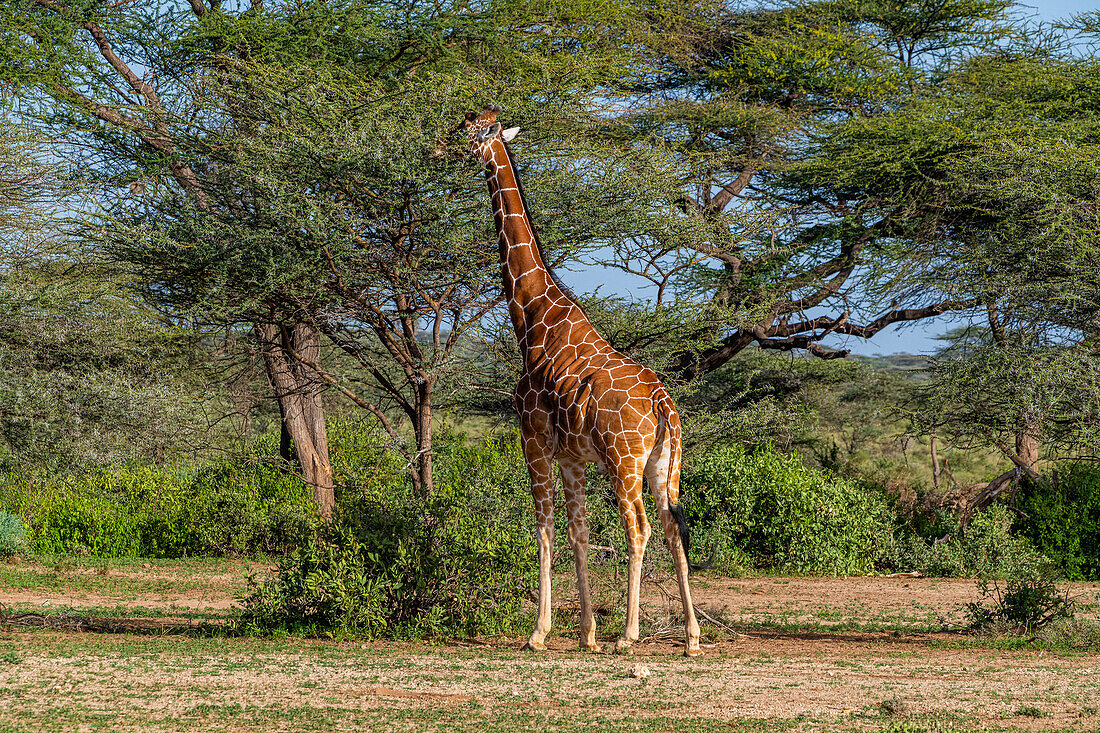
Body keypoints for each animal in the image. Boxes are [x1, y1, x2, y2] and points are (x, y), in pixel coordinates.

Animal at [457, 104, 699, 655]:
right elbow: (578, 534)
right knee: (673, 527)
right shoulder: (571, 456)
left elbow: (544, 530)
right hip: (665, 464)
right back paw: (692, 637)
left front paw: (540, 633)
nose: (445, 147)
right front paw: (586, 632)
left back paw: (629, 635)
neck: (531, 317)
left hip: (624, 462)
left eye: (471, 130)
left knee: (639, 529)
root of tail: (662, 402)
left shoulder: (533, 439)